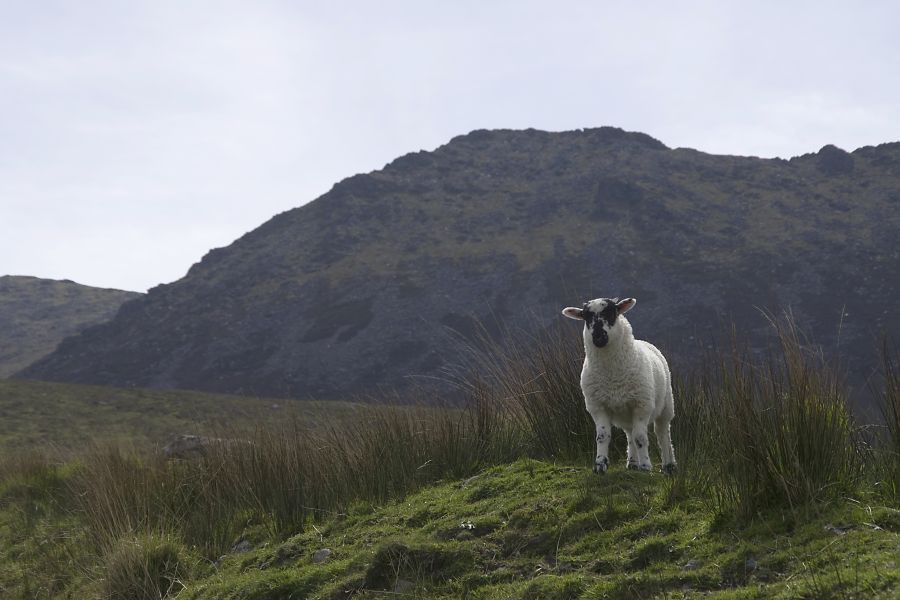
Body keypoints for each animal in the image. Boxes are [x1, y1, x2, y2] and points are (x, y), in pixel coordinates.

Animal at [564, 298, 676, 476]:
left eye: (612, 312)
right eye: (586, 316)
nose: (598, 336)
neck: (613, 377)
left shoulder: (641, 405)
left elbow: (641, 437)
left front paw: (646, 466)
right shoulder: (598, 406)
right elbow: (603, 436)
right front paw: (600, 465)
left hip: (666, 406)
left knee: (663, 434)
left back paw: (669, 465)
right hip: (626, 413)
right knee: (630, 434)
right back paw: (633, 463)